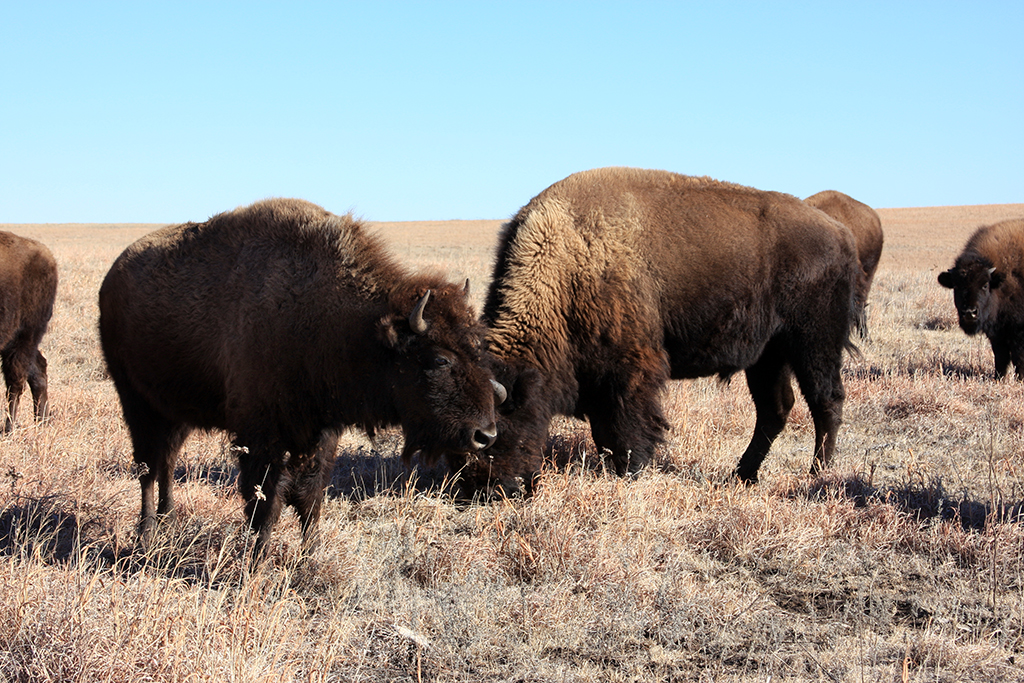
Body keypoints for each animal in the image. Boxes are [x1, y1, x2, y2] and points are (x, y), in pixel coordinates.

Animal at [99, 198, 503, 558]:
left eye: (479, 347)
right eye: (438, 359)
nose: (485, 435)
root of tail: (112, 278)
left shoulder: (320, 434)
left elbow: (310, 499)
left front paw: (310, 556)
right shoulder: (262, 437)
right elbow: (265, 502)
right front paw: (257, 562)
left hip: (177, 411)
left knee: (166, 463)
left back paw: (167, 521)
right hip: (136, 402)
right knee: (148, 468)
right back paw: (146, 534)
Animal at [454, 167, 858, 493]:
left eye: (494, 433)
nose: (491, 489)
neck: (569, 261)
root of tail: (840, 233)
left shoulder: (630, 369)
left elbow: (628, 427)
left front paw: (630, 472)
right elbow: (606, 430)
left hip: (814, 342)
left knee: (826, 400)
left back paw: (816, 473)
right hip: (767, 355)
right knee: (775, 409)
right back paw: (743, 475)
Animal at [938, 218, 1024, 379]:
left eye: (984, 285)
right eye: (956, 286)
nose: (969, 313)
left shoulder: (1017, 332)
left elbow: (1018, 358)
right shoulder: (997, 334)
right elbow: (1001, 357)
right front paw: (998, 378)